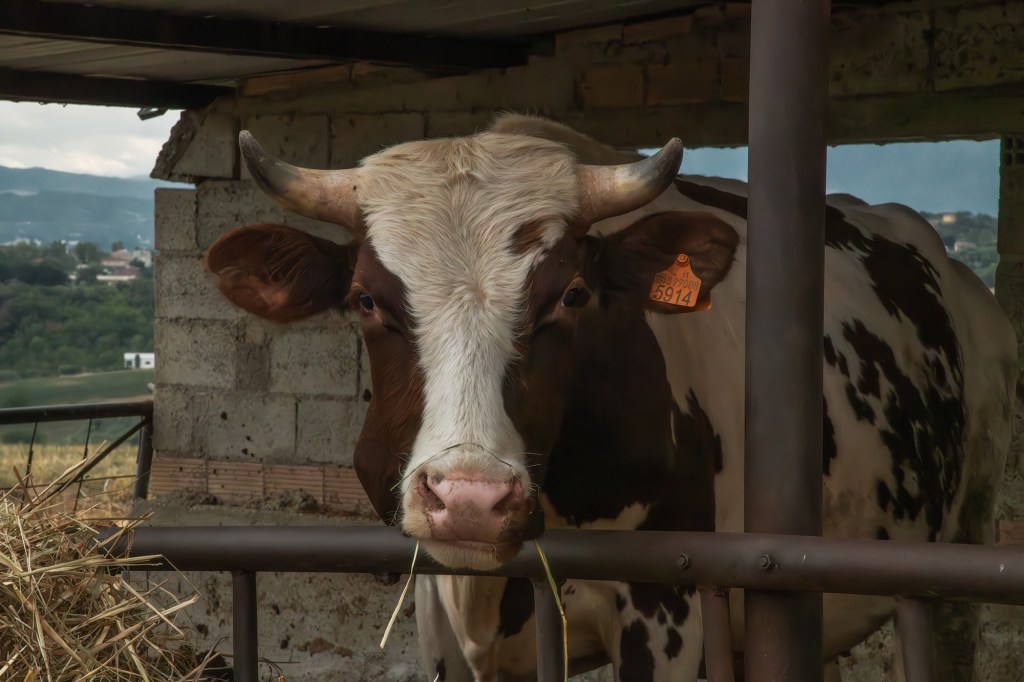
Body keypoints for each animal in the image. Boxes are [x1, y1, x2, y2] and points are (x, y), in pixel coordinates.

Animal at [205, 114, 1017, 681]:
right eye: (367, 300)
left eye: (571, 295)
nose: (470, 500)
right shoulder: (442, 616)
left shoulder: (668, 615)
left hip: (960, 546)